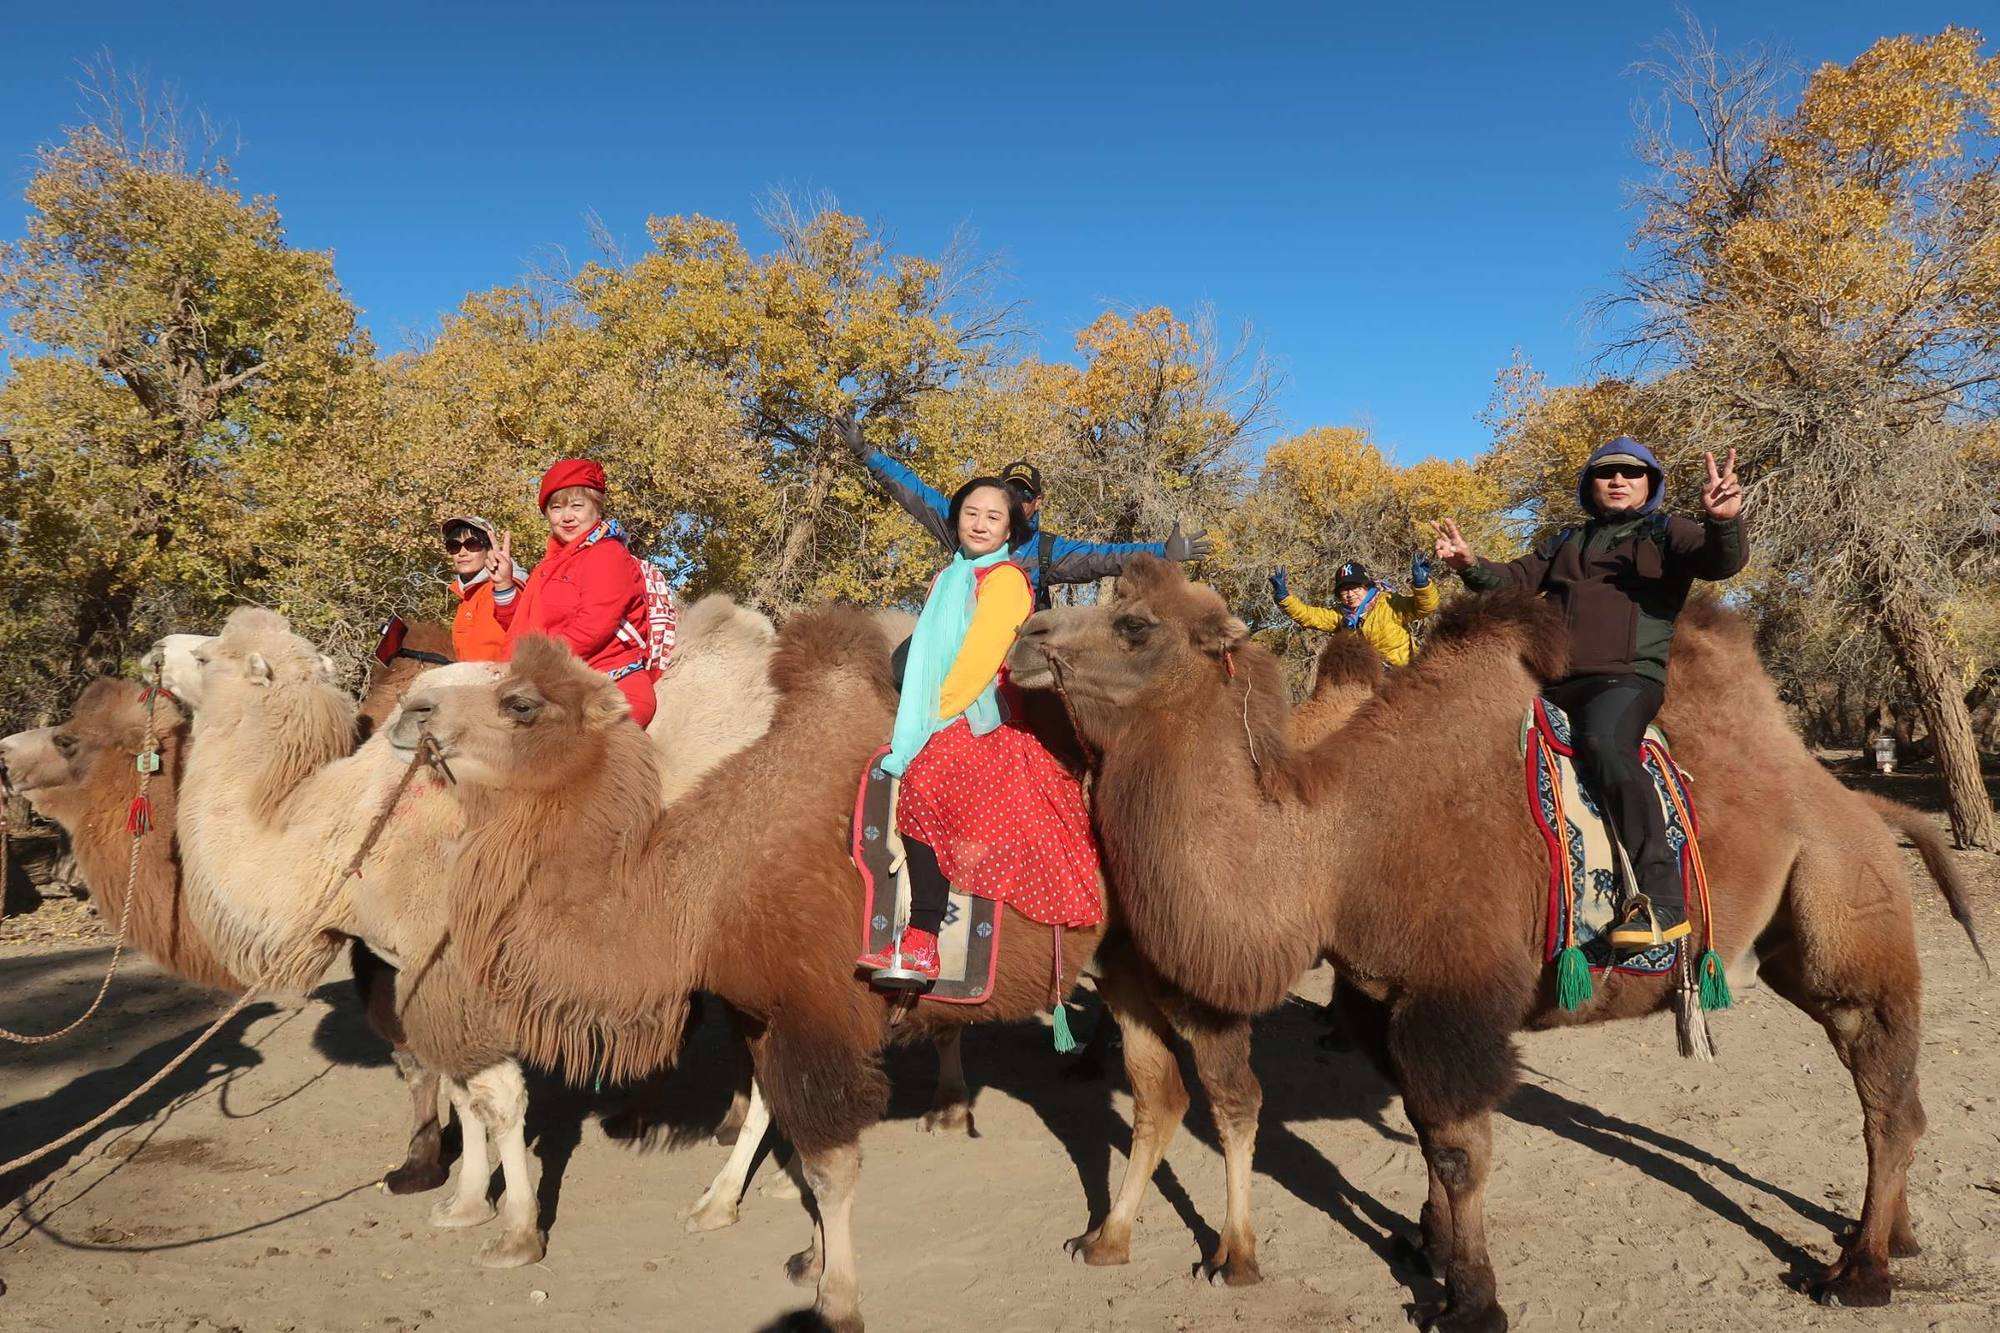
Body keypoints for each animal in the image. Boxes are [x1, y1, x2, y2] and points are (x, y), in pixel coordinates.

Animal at [392, 612, 1256, 1328]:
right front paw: (798, 1250)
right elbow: (787, 1133)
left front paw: (837, 1299)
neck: (701, 887)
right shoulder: (768, 1013)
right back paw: (1107, 1238)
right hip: (1121, 962)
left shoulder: (820, 1010)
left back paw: (1236, 1256)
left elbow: (829, 1161)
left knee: (1228, 1089)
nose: (413, 712)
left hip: (1183, 953)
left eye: (521, 702)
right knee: (1159, 1092)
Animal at [1008, 552, 1992, 1328]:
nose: (1024, 636)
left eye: (1135, 624)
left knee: (1881, 1083)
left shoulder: (1454, 995)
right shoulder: (1379, 994)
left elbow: (1459, 1147)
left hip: (1845, 906)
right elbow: (1423, 1127)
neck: (1336, 846)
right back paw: (1890, 1235)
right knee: (1888, 1089)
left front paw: (1472, 1300)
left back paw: (1859, 1271)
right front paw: (1428, 1249)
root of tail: (1862, 806)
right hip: (1796, 936)